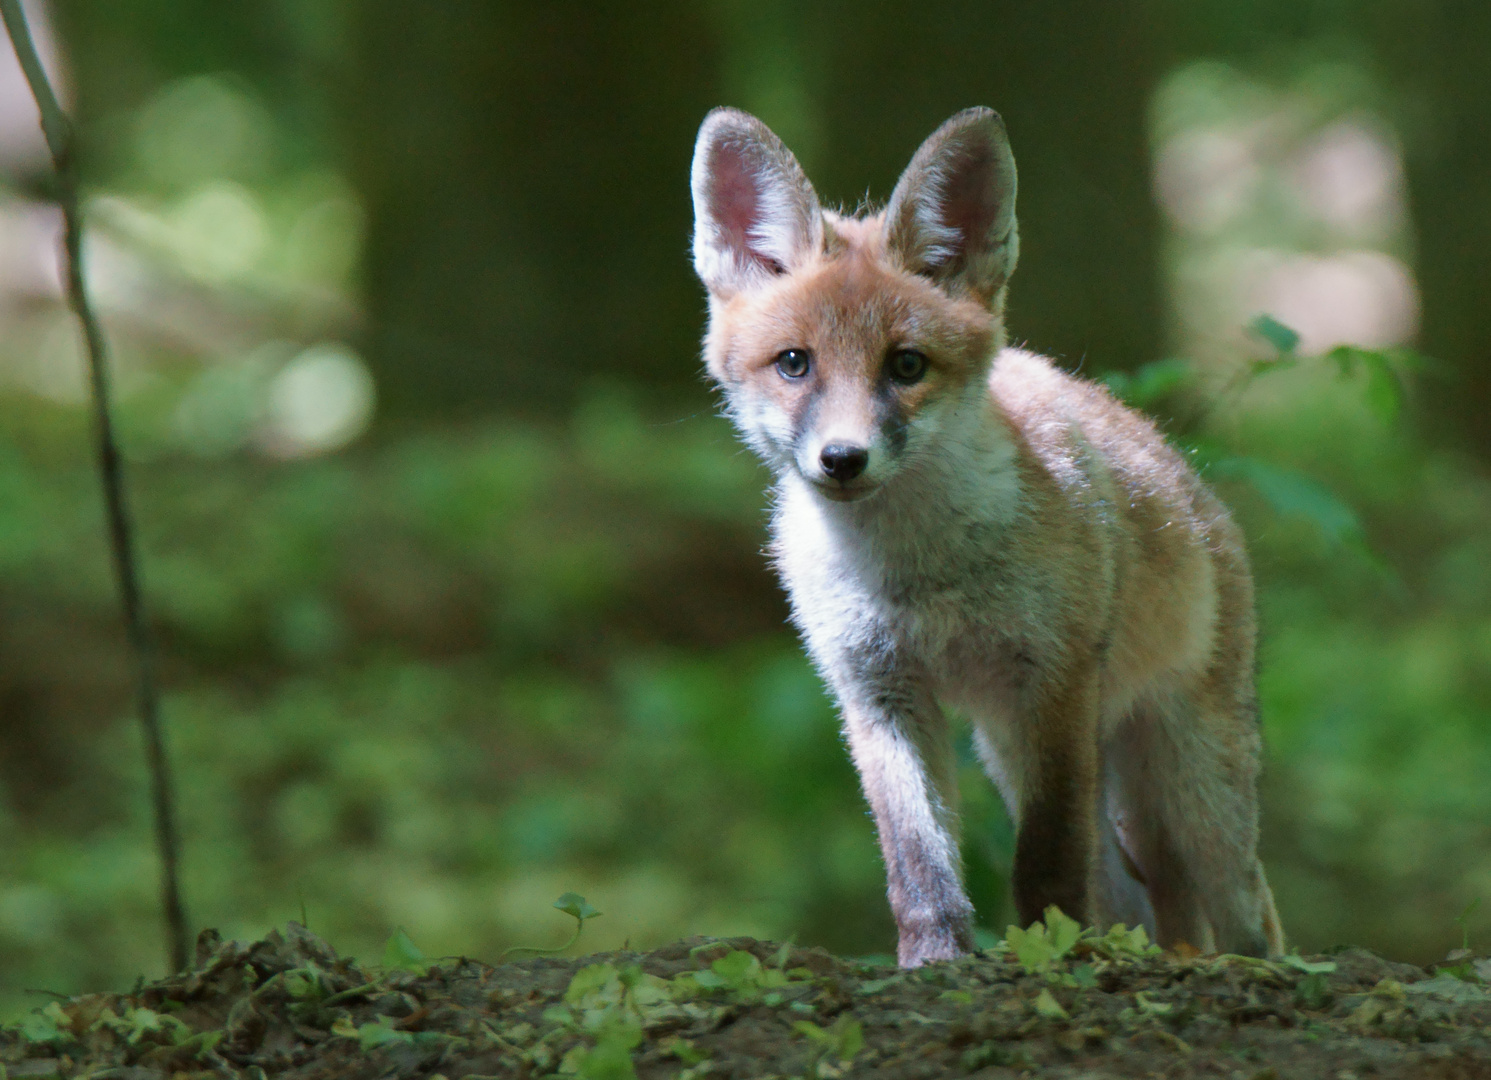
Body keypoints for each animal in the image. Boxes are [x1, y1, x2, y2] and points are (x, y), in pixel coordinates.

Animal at [691, 107, 1288, 972]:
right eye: (794, 364)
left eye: (906, 366)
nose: (842, 460)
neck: (919, 577)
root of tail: (1186, 477)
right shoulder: (877, 691)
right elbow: (918, 862)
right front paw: (935, 959)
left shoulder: (1053, 683)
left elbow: (1044, 860)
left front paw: (1045, 951)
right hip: (1020, 753)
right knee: (1132, 898)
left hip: (1189, 778)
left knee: (1244, 909)